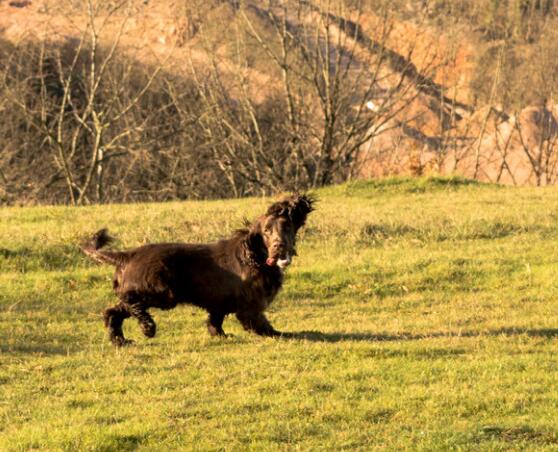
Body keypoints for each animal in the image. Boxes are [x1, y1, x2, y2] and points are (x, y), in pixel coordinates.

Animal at [81, 194, 314, 346]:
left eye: (287, 227)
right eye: (266, 231)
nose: (279, 246)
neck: (255, 256)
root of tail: (128, 255)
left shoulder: (219, 301)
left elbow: (215, 319)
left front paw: (219, 335)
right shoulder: (249, 306)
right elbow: (261, 324)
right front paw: (283, 334)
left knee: (112, 311)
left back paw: (120, 340)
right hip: (163, 293)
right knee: (132, 303)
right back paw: (147, 327)